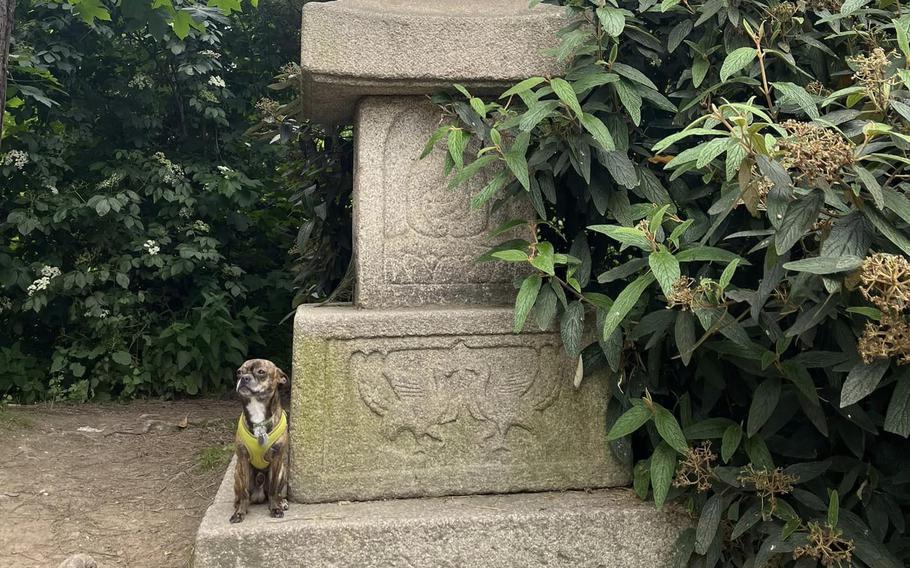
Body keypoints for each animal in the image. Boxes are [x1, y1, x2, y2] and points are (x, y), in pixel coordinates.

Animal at [232, 360, 288, 524]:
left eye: (261, 372)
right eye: (238, 372)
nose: (244, 378)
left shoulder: (277, 459)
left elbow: (274, 488)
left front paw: (275, 508)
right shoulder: (243, 460)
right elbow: (244, 492)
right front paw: (239, 513)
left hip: (283, 470)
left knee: (274, 493)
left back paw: (281, 502)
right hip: (237, 473)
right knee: (240, 494)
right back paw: (238, 505)